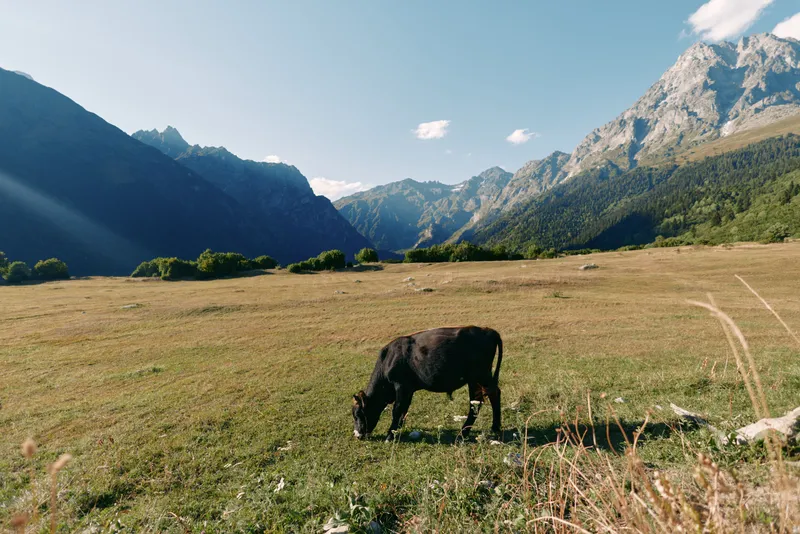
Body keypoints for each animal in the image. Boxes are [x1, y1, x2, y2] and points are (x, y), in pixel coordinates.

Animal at [351, 326, 503, 441]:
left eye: (358, 414)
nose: (357, 435)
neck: (388, 359)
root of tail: (487, 330)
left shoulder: (401, 386)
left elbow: (397, 410)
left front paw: (390, 435)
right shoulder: (408, 390)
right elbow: (404, 410)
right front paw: (397, 431)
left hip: (481, 376)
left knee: (493, 394)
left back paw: (489, 428)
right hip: (475, 380)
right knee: (477, 401)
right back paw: (468, 431)